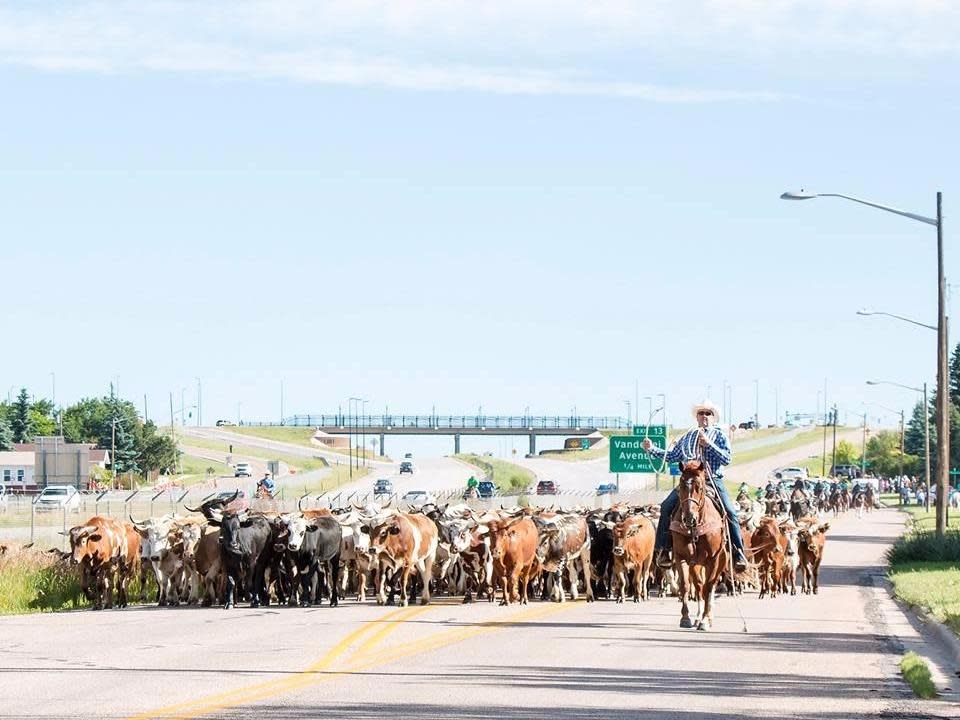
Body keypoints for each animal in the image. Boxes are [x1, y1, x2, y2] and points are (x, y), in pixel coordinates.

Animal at [672, 462, 732, 632]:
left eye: (699, 487)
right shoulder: (681, 557)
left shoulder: (713, 559)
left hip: (721, 560)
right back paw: (698, 617)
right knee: (698, 585)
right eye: (681, 485)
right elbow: (685, 586)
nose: (689, 518)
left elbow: (708, 587)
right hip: (696, 564)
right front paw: (685, 618)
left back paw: (707, 617)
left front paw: (705, 620)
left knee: (710, 587)